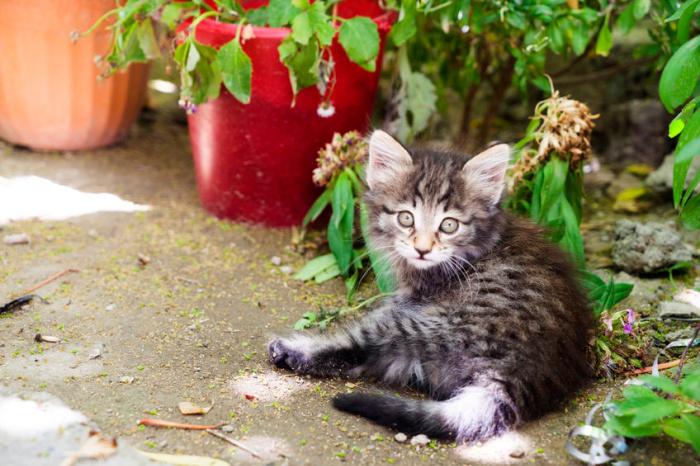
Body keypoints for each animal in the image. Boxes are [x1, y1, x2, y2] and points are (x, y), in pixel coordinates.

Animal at [268, 130, 592, 440]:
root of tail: (514, 378)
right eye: (405, 218)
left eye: (449, 225)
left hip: (434, 324)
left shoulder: (409, 302)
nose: (422, 249)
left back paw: (291, 350)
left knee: (361, 346)